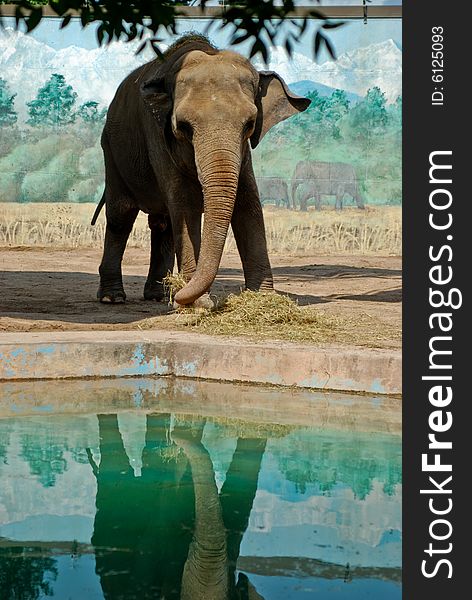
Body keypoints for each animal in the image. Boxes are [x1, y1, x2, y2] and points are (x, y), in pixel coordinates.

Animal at [91, 34, 310, 304]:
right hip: (111, 152)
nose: (180, 295)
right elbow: (185, 205)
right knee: (120, 217)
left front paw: (263, 299)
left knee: (163, 223)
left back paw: (158, 295)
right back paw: (113, 298)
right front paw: (197, 303)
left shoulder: (243, 155)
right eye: (183, 127)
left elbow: (249, 205)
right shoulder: (157, 136)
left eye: (249, 124)